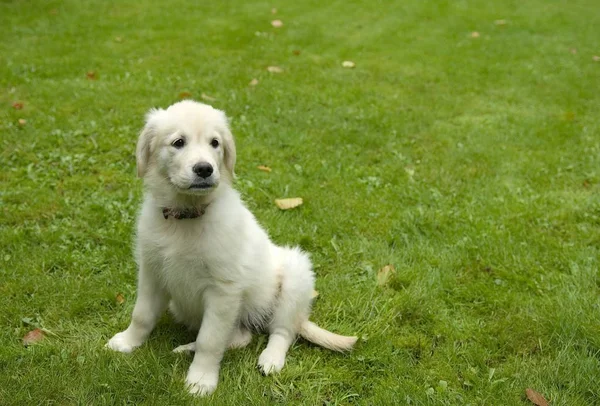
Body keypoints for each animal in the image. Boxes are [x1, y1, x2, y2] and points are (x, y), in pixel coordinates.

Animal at [107, 100, 356, 394]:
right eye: (178, 142)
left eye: (215, 143)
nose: (204, 169)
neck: (186, 216)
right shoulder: (152, 272)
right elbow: (142, 314)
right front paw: (127, 341)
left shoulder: (223, 290)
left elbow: (211, 340)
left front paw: (201, 380)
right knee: (240, 338)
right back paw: (186, 348)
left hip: (296, 278)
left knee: (282, 331)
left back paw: (270, 359)